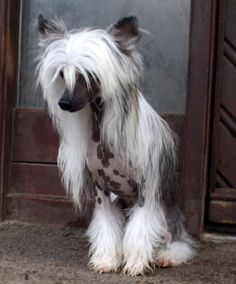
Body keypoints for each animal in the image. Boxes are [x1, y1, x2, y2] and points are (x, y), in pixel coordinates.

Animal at [37, 15, 195, 276]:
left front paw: (136, 264)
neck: (101, 130)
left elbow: (141, 229)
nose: (64, 103)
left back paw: (167, 256)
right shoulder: (102, 193)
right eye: (62, 74)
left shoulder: (145, 193)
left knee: (177, 241)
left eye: (88, 74)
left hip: (166, 213)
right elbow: (108, 228)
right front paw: (107, 260)